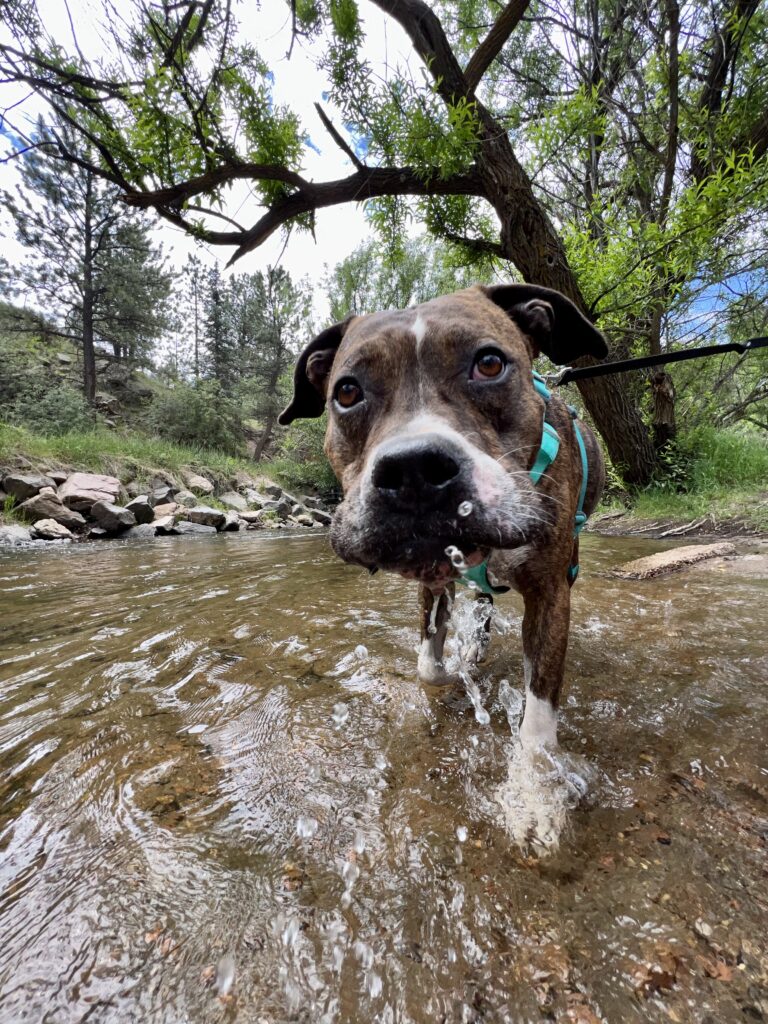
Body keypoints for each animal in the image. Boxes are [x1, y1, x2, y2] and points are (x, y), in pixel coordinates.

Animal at [280, 284, 610, 749]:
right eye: (346, 392)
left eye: (489, 364)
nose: (414, 469)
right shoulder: (432, 580)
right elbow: (428, 667)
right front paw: (459, 670)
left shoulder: (550, 594)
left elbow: (538, 721)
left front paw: (534, 770)